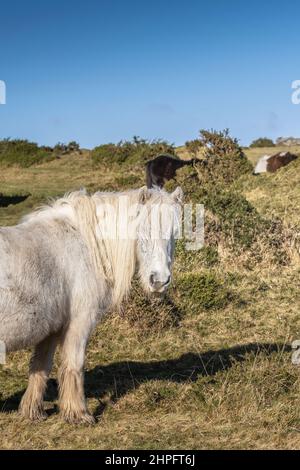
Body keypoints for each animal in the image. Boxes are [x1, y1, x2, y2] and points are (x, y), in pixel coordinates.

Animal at [0, 185, 183, 424]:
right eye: (143, 229)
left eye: (175, 232)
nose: (159, 281)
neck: (85, 245)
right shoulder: (79, 322)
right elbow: (74, 364)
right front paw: (79, 414)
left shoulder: (51, 329)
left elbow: (40, 367)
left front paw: (33, 411)